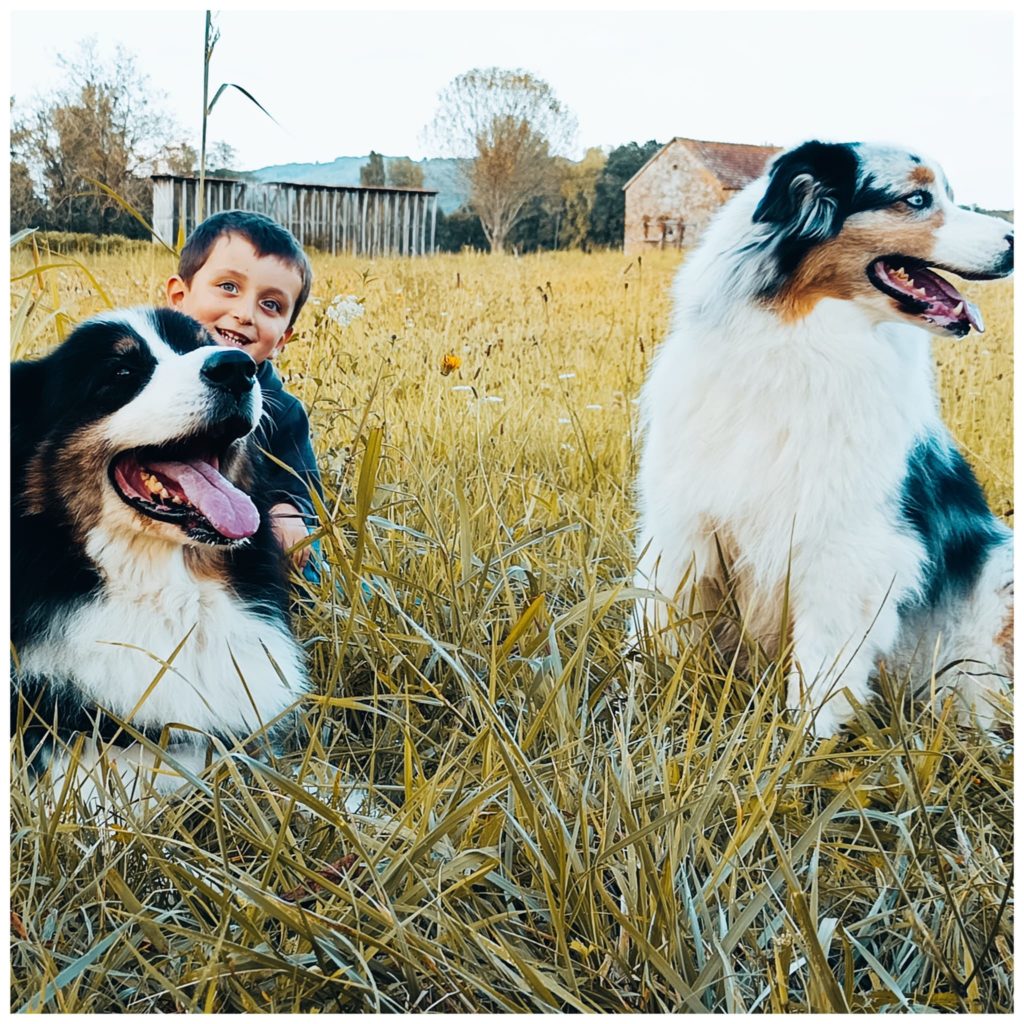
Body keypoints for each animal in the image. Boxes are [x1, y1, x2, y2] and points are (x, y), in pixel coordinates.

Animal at [634, 142, 1011, 737]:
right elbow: (657, 626)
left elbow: (818, 673)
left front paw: (799, 749)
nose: (1015, 243)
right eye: (917, 199)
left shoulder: (846, 551)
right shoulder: (684, 527)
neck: (802, 345)